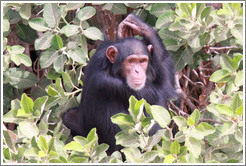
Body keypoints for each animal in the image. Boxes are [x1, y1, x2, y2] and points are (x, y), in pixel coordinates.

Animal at [61, 14, 177, 154]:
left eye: (142, 61)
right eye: (131, 61)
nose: (138, 71)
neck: (110, 67)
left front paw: (138, 25)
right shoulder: (111, 84)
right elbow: (164, 88)